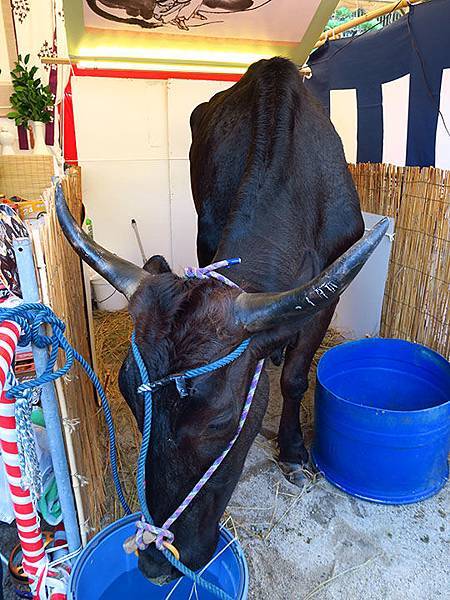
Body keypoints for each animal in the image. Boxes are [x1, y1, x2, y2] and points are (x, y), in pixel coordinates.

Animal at [55, 56, 386, 580]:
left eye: (221, 422)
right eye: (127, 395)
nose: (156, 562)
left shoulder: (327, 299)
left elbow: (295, 378)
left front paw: (293, 452)